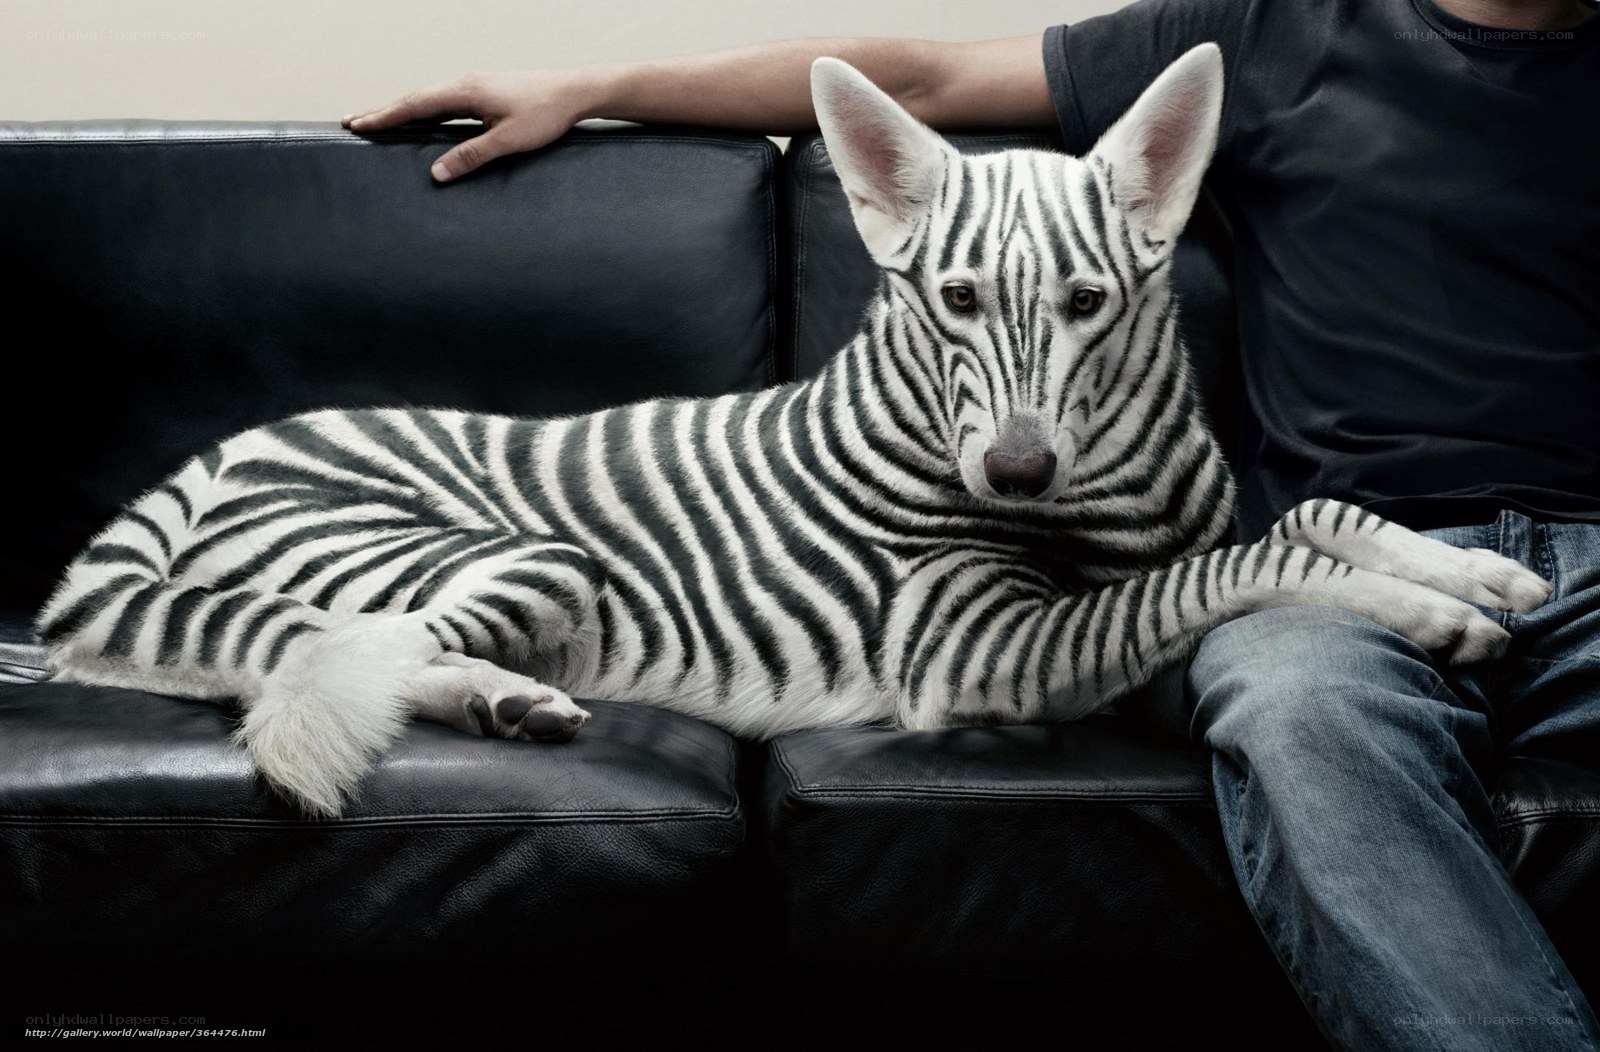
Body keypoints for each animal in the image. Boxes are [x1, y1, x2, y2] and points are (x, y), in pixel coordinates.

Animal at [36, 46, 1551, 817]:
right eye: (953, 298)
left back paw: (507, 705)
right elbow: (1246, 565)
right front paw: (1430, 611)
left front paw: (1470, 567)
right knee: (298, 652)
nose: (1013, 469)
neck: (1107, 500)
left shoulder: (1176, 533)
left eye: (1084, 302)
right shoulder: (974, 651)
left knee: (336, 652)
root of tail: (215, 457)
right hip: (514, 556)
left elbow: (1304, 516)